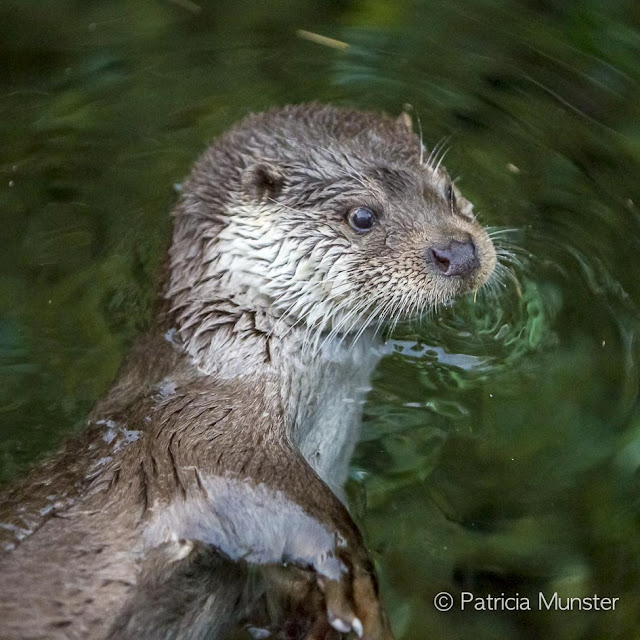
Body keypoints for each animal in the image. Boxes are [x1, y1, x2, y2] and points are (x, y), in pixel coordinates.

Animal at [0, 102, 496, 636]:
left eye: (447, 189)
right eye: (362, 216)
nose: (458, 251)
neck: (242, 361)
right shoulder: (208, 445)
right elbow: (317, 526)